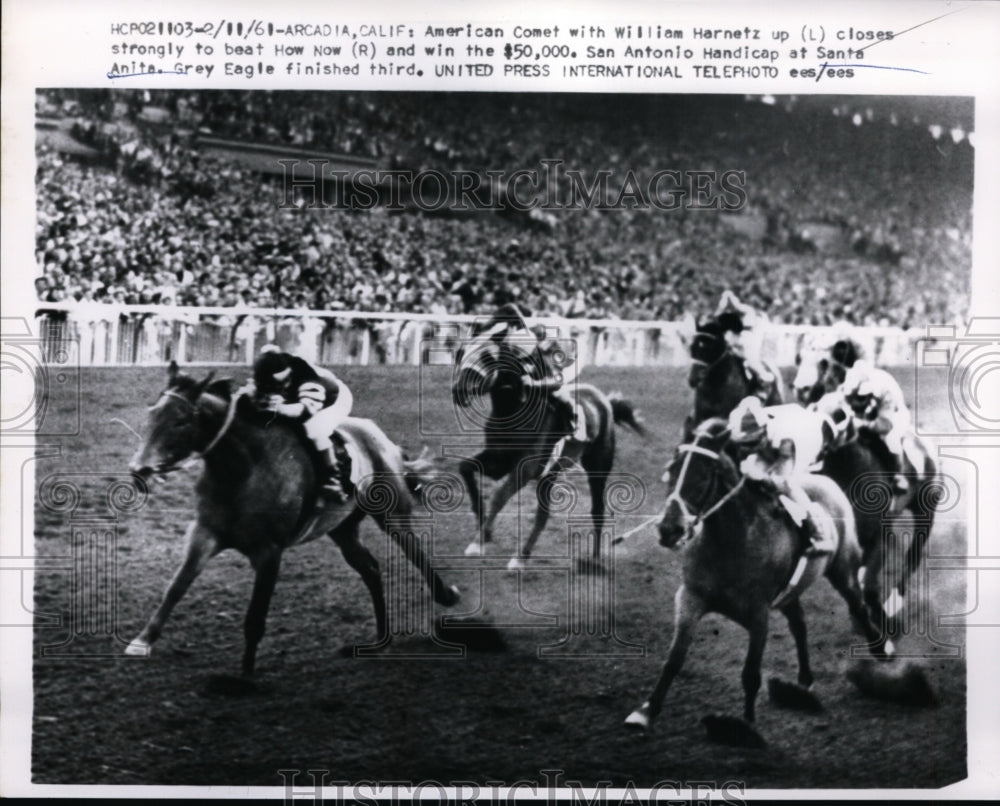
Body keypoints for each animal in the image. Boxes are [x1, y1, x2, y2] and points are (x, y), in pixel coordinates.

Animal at [122, 364, 460, 676]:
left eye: (181, 421)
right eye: (152, 413)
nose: (139, 469)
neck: (242, 469)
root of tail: (382, 438)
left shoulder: (269, 551)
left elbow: (255, 617)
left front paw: (245, 676)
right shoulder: (205, 533)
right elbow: (177, 586)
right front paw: (143, 640)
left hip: (393, 515)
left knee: (416, 554)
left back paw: (445, 596)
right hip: (343, 528)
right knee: (371, 569)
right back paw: (379, 640)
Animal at [624, 420, 892, 736]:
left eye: (704, 473)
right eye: (673, 468)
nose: (669, 529)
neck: (731, 543)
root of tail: (829, 484)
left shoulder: (758, 615)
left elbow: (750, 673)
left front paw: (746, 725)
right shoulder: (690, 598)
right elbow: (674, 659)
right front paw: (646, 711)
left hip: (843, 571)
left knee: (858, 607)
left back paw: (882, 651)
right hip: (791, 591)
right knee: (799, 625)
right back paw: (804, 679)